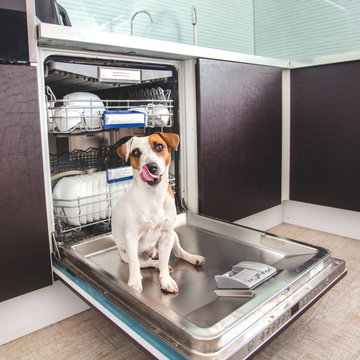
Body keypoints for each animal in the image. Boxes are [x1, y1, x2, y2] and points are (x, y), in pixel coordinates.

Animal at [112, 132, 205, 292]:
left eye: (159, 146)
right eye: (135, 152)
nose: (151, 166)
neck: (153, 196)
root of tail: (152, 251)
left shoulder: (167, 234)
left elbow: (164, 261)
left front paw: (166, 280)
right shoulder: (131, 238)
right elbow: (136, 265)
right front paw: (135, 283)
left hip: (174, 235)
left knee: (176, 253)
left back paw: (194, 258)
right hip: (127, 255)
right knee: (147, 262)